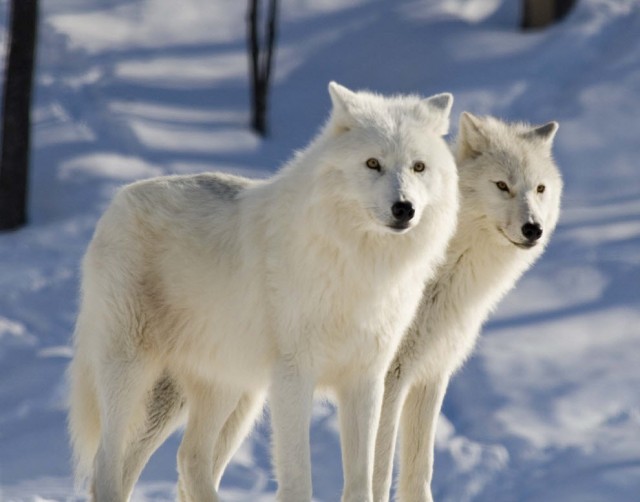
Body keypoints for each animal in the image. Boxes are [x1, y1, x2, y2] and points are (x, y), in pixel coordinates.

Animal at [67, 82, 460, 502]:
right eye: (373, 163)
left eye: (418, 167)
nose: (404, 208)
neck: (360, 264)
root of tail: (119, 199)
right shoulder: (294, 378)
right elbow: (298, 479)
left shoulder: (366, 379)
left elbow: (360, 481)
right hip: (134, 373)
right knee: (106, 463)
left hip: (229, 391)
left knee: (189, 458)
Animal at [372, 113, 563, 502]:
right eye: (502, 185)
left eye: (539, 189)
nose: (533, 229)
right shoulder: (389, 378)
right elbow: (379, 472)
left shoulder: (430, 374)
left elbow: (419, 472)